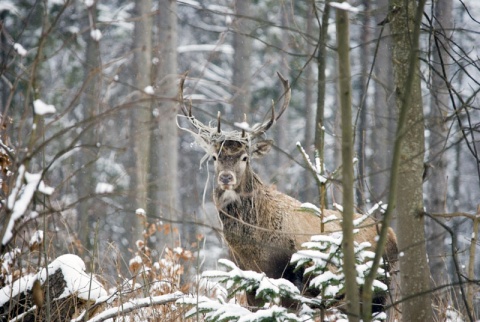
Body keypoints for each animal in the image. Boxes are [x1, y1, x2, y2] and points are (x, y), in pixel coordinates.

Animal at [179, 71, 398, 310]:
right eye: (214, 157)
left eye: (245, 157)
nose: (226, 177)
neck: (253, 250)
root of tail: (393, 235)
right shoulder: (247, 278)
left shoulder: (292, 276)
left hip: (383, 288)